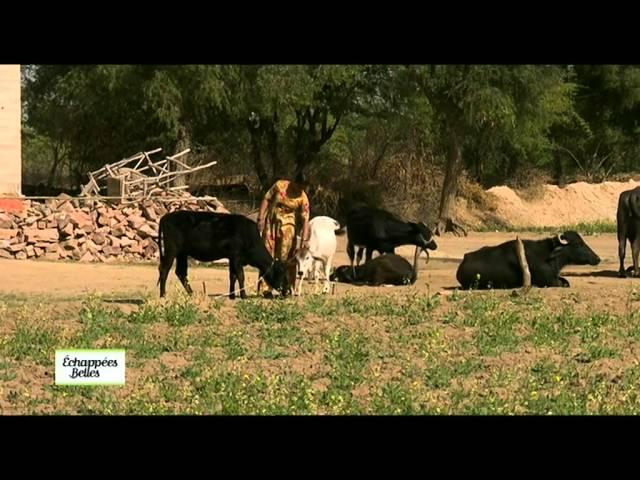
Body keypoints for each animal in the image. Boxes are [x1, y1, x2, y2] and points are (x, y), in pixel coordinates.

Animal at [158, 211, 290, 298]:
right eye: (282, 273)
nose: (288, 291)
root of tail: (165, 217)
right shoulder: (236, 257)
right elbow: (241, 275)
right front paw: (243, 295)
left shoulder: (232, 258)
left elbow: (233, 276)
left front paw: (232, 295)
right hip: (172, 250)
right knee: (165, 270)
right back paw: (163, 295)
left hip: (182, 253)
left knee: (181, 272)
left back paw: (192, 294)